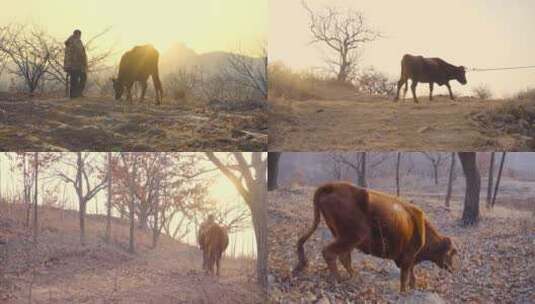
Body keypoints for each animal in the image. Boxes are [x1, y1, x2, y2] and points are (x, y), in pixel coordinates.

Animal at [294, 182, 460, 290]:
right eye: (451, 253)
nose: (453, 268)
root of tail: (332, 185)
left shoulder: (410, 259)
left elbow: (412, 275)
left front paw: (413, 287)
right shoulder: (407, 257)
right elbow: (405, 278)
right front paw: (404, 292)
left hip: (343, 237)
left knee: (343, 257)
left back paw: (354, 277)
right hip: (352, 237)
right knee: (330, 252)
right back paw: (337, 280)